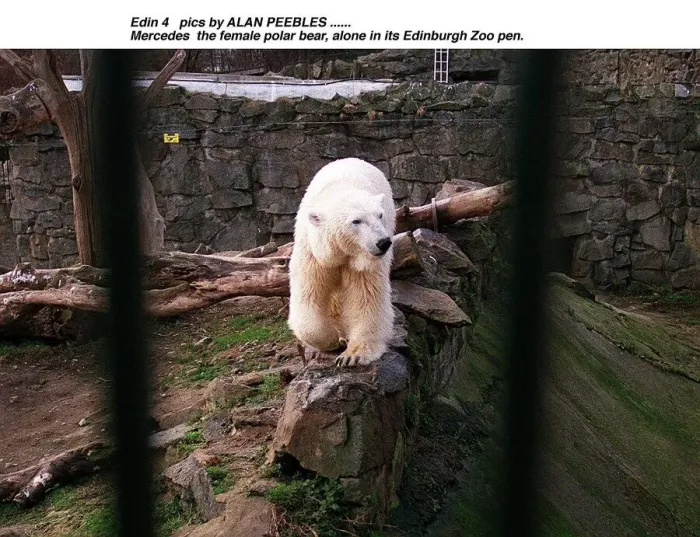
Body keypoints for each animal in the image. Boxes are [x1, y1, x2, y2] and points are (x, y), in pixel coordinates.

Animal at [288, 157, 396, 367]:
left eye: (379, 215)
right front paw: (333, 340)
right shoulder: (313, 254)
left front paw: (352, 355)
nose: (383, 242)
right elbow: (309, 294)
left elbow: (366, 296)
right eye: (356, 221)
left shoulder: (365, 264)